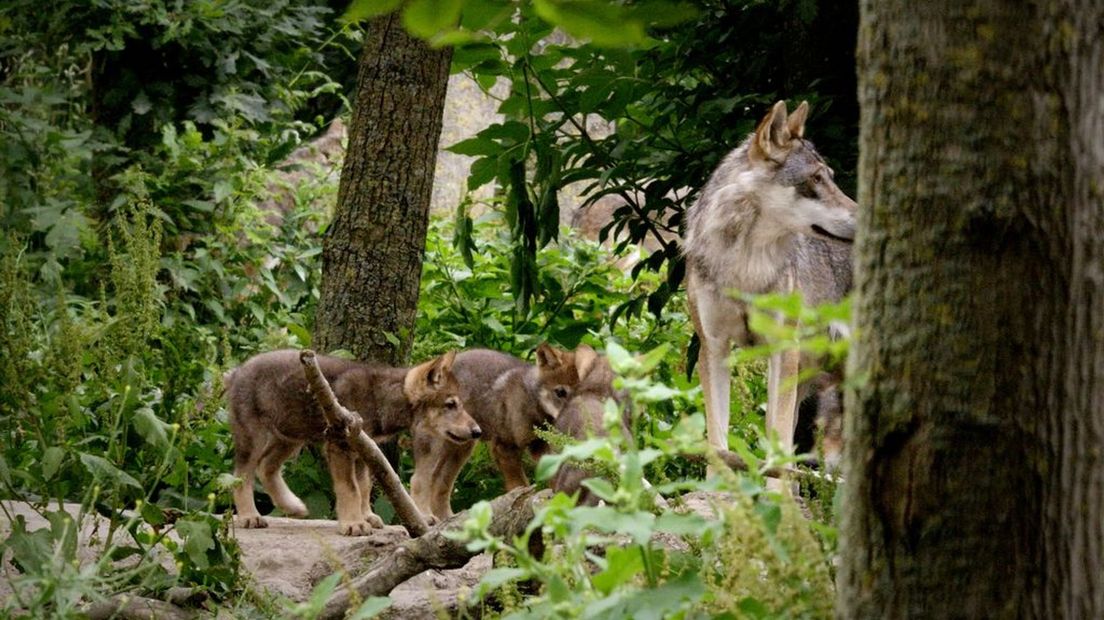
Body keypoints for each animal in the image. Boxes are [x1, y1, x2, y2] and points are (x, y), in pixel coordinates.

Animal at [684, 100, 856, 458]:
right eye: (816, 178)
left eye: (831, 178)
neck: (745, 266)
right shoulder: (715, 349)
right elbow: (718, 444)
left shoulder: (783, 349)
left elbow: (776, 445)